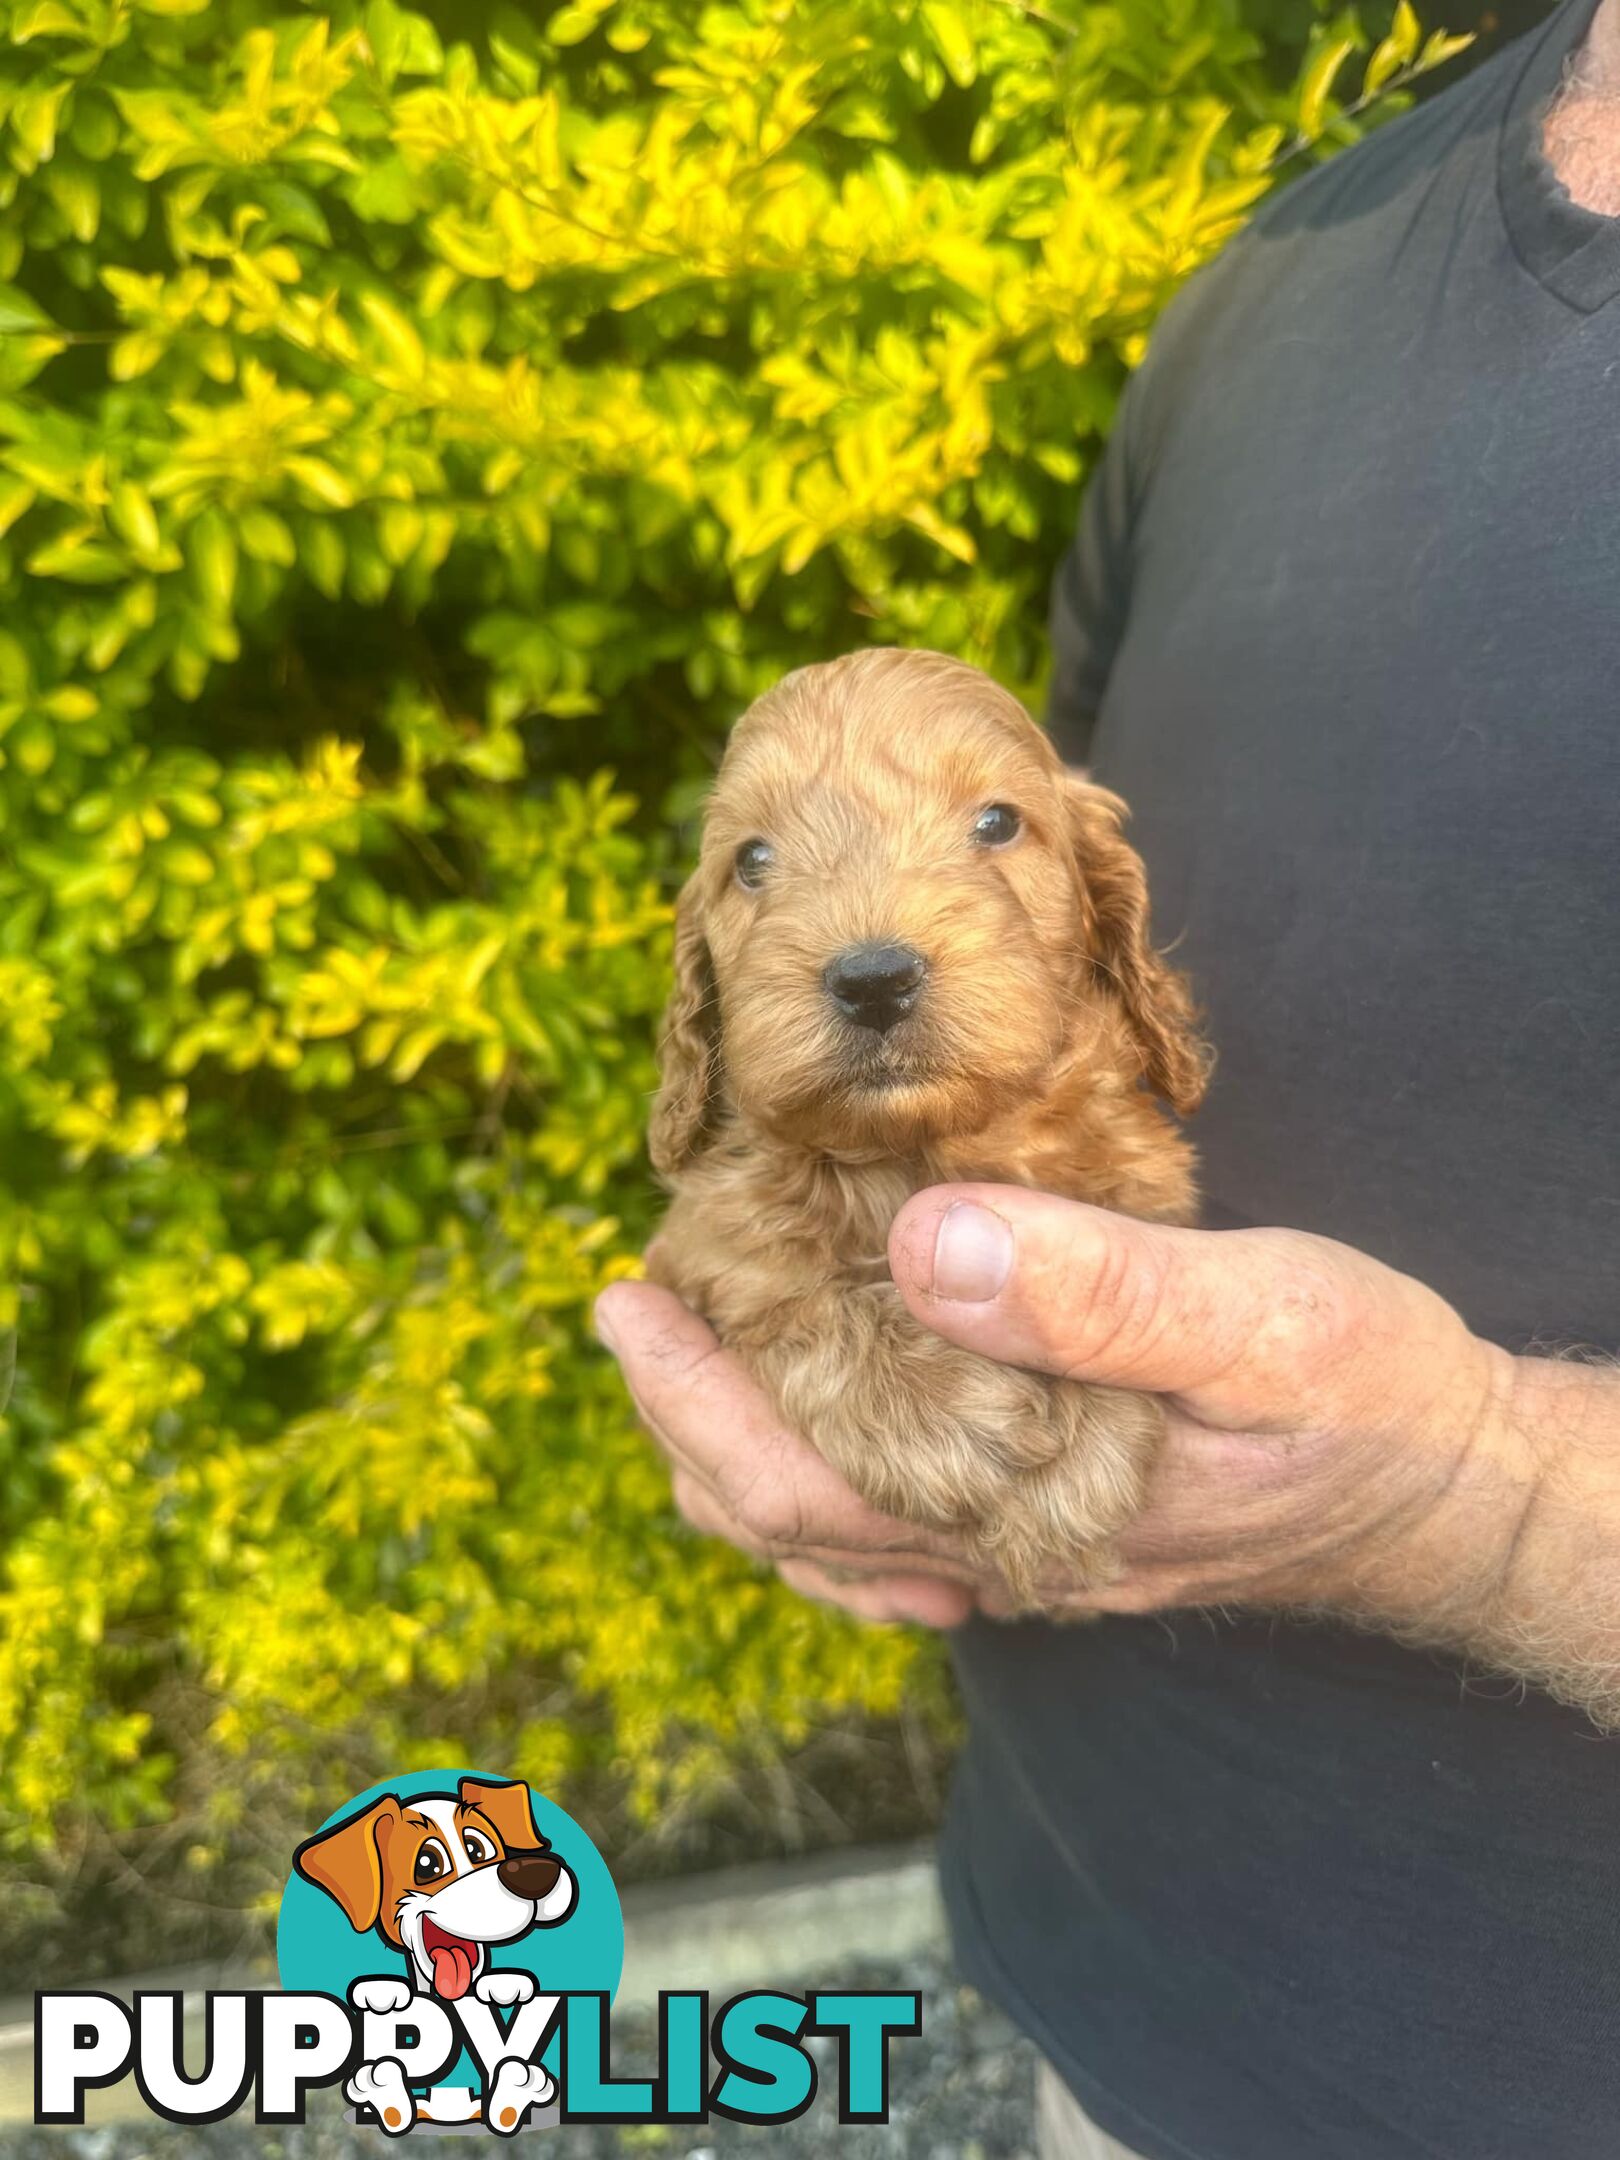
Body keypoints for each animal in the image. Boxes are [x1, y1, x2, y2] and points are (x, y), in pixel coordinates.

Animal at [648, 648, 1209, 1615]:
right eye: (752, 861)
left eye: (998, 822)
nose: (873, 978)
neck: (920, 1149)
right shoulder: (705, 1236)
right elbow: (787, 1288)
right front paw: (932, 1404)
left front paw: (1084, 1435)